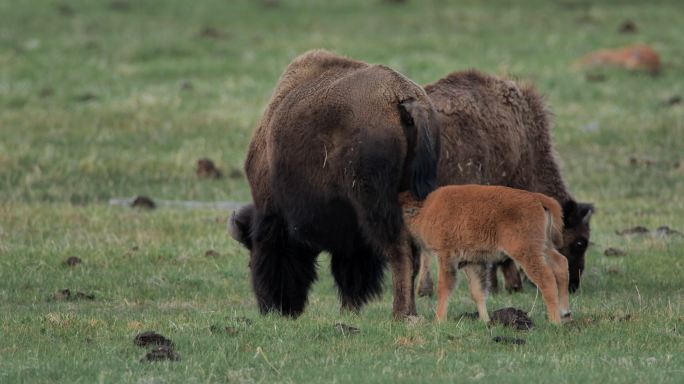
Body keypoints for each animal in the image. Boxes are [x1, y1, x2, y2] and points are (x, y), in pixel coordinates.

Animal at [230, 51, 440, 320]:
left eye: (252, 257)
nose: (273, 309)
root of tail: (403, 98)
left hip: (377, 205)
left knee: (399, 251)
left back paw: (400, 314)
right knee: (411, 254)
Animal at [400, 184, 572, 322]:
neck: (424, 210)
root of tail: (538, 199)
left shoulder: (446, 257)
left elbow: (444, 288)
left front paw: (438, 320)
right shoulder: (472, 262)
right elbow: (478, 291)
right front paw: (485, 321)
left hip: (527, 252)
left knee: (546, 279)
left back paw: (554, 321)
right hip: (544, 247)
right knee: (561, 264)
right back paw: (565, 313)